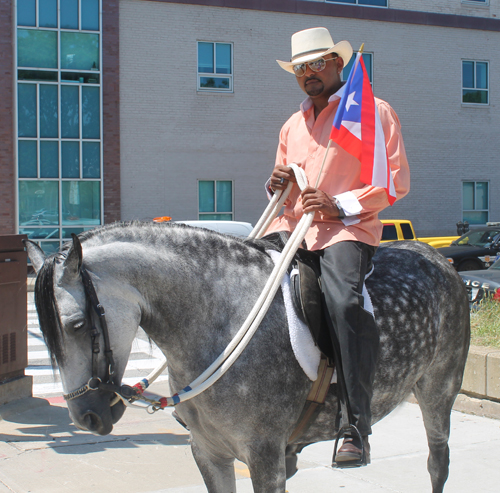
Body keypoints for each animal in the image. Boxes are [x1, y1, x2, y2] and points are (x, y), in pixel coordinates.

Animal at [25, 221, 466, 490]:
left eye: (77, 324)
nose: (86, 417)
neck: (218, 320)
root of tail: (438, 258)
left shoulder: (265, 457)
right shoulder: (209, 453)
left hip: (439, 391)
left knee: (438, 463)